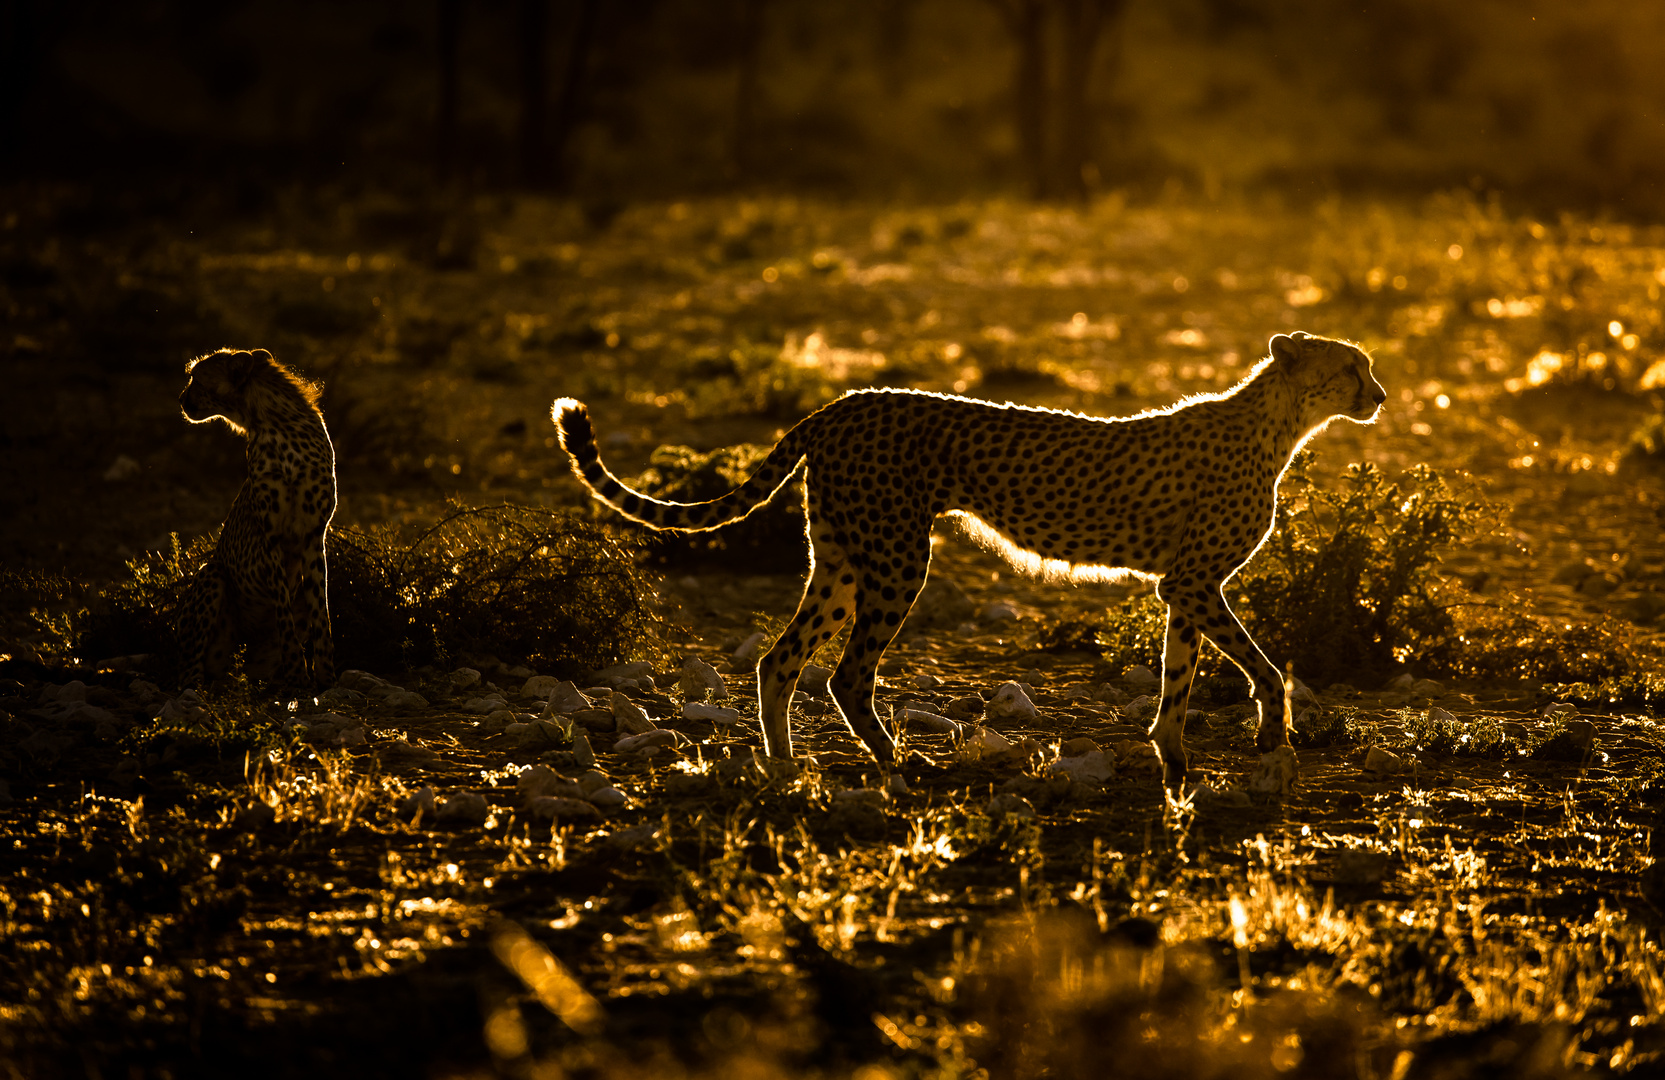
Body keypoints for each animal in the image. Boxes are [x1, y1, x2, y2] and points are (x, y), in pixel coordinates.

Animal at [176, 347, 337, 692]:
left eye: (197, 377)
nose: (181, 399)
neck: (274, 422)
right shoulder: (271, 536)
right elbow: (283, 613)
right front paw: (298, 675)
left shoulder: (313, 536)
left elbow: (321, 613)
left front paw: (326, 678)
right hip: (212, 574)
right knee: (189, 670)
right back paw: (198, 690)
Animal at [552, 331, 1385, 792]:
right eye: (1350, 367)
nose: (1378, 395)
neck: (1280, 422)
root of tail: (844, 400)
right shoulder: (1193, 581)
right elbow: (1262, 666)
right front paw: (1270, 738)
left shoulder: (1182, 587)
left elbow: (1177, 680)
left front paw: (1176, 767)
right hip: (895, 558)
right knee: (845, 673)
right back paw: (894, 764)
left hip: (842, 559)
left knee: (780, 658)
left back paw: (784, 769)